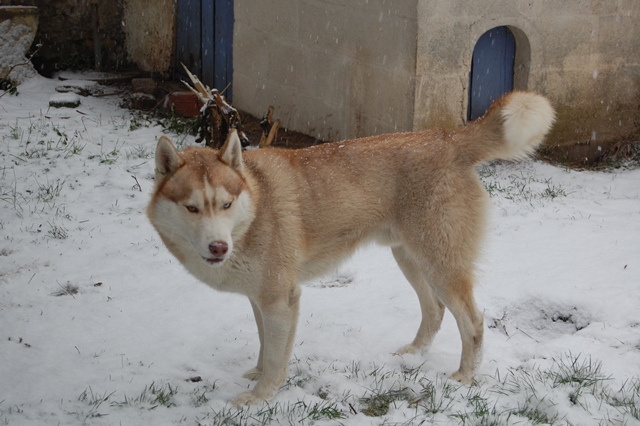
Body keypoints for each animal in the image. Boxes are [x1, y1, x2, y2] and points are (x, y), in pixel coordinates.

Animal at [148, 91, 552, 404]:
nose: (218, 247)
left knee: (473, 321)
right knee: (434, 310)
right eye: (192, 208)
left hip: (440, 264)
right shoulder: (260, 298)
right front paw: (258, 374)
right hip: (410, 258)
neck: (255, 205)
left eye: (226, 204)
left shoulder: (280, 299)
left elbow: (276, 358)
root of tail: (447, 136)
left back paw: (465, 376)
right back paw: (413, 354)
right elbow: (265, 346)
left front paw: (261, 396)